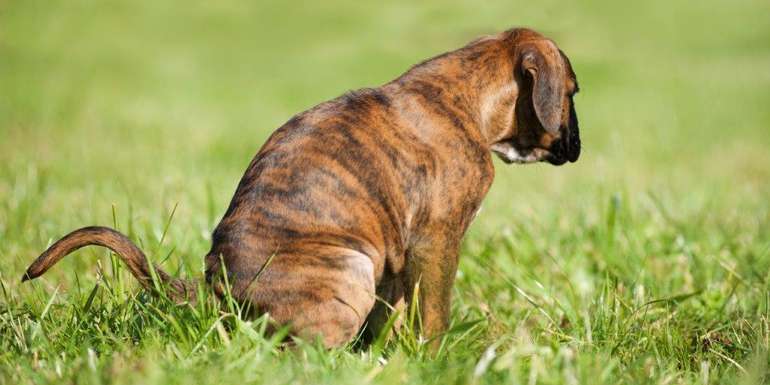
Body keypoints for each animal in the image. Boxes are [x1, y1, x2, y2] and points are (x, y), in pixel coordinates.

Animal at [21, 26, 580, 344]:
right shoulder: (436, 243)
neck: (466, 93)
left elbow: (396, 314)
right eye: (573, 93)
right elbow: (433, 314)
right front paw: (437, 357)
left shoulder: (398, 258)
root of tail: (215, 284)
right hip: (348, 268)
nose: (578, 143)